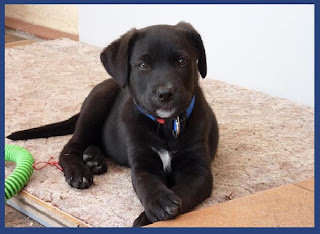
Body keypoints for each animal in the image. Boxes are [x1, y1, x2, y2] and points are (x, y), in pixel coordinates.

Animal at [9, 22, 220, 227]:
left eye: (182, 61)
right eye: (143, 65)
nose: (165, 94)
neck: (166, 124)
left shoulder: (197, 170)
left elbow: (184, 191)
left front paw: (147, 217)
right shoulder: (142, 164)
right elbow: (146, 183)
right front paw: (160, 202)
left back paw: (93, 158)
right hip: (96, 104)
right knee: (71, 146)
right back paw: (78, 170)